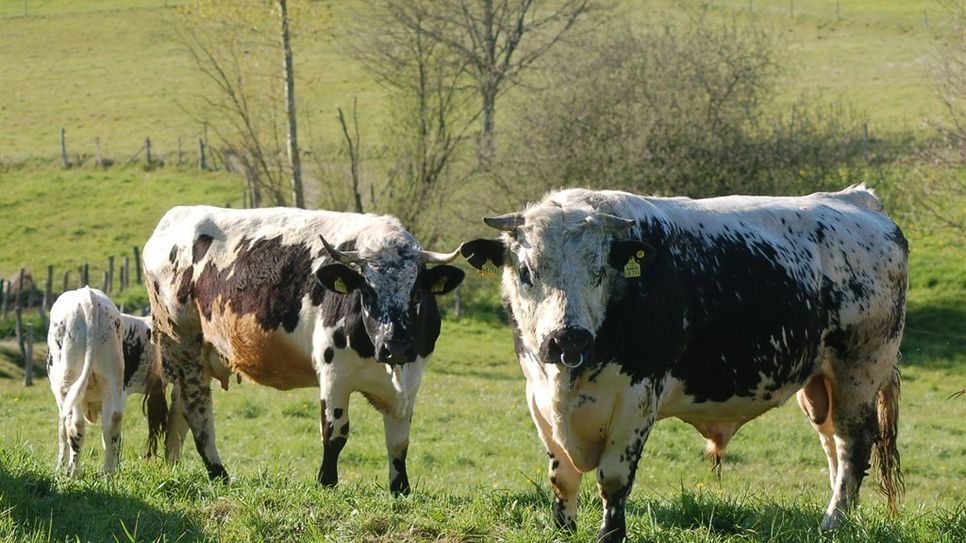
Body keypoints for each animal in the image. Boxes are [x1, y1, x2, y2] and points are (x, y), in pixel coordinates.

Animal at [46, 286, 168, 478]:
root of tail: (88, 296)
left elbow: (62, 433)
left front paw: (60, 468)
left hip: (68, 382)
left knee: (75, 425)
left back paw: (74, 473)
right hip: (113, 380)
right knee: (113, 423)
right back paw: (108, 474)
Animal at [141, 205, 468, 492]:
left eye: (416, 292)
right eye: (367, 290)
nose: (395, 346)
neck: (389, 369)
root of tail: (172, 219)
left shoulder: (410, 380)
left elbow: (399, 442)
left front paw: (400, 489)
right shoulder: (334, 373)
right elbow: (335, 431)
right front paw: (327, 483)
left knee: (178, 414)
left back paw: (174, 468)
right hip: (184, 345)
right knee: (197, 411)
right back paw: (218, 473)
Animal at [462, 185, 908, 540]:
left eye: (600, 269)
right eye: (526, 271)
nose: (567, 338)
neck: (569, 382)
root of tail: (857, 199)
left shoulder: (636, 400)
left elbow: (613, 479)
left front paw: (610, 534)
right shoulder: (538, 397)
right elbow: (562, 477)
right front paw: (564, 529)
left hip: (860, 370)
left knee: (853, 446)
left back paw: (833, 521)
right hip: (820, 383)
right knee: (832, 445)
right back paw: (840, 517)